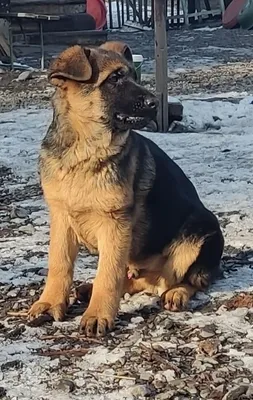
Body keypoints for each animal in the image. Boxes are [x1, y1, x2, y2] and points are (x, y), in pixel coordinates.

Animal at [28, 40, 224, 336]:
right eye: (115, 79)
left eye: (134, 76)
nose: (155, 103)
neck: (84, 152)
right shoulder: (61, 218)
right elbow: (59, 265)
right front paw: (49, 304)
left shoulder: (115, 224)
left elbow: (108, 274)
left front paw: (98, 315)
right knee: (146, 279)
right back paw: (91, 289)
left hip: (198, 231)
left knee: (181, 279)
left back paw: (177, 293)